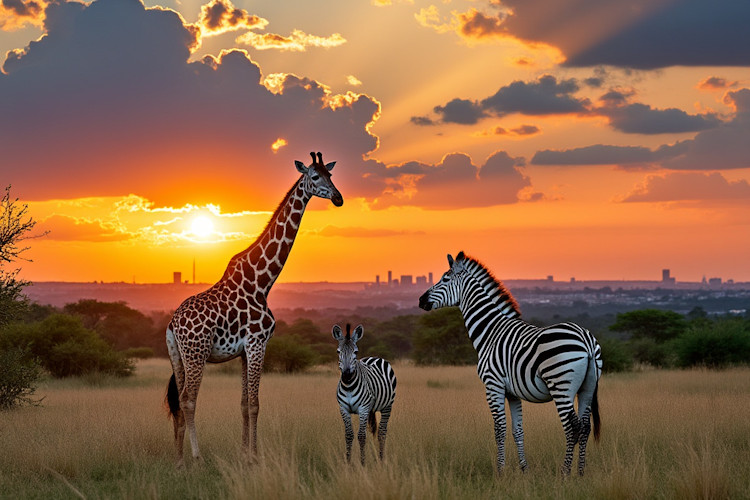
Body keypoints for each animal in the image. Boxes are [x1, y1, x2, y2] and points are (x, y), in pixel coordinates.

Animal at [165, 151, 343, 468]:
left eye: (330, 175)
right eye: (314, 176)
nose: (338, 198)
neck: (263, 281)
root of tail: (173, 323)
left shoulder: (245, 350)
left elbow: (244, 403)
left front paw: (245, 453)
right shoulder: (258, 343)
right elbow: (256, 403)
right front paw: (255, 457)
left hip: (178, 356)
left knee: (178, 402)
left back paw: (179, 459)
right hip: (197, 353)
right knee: (188, 398)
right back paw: (197, 457)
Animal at [332, 323, 397, 464]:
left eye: (355, 352)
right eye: (338, 352)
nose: (346, 375)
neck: (349, 386)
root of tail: (374, 357)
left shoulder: (363, 408)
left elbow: (361, 436)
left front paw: (362, 463)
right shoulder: (343, 409)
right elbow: (349, 435)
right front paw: (348, 462)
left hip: (387, 406)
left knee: (382, 432)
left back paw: (381, 459)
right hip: (371, 409)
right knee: (373, 430)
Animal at [418, 252, 602, 476]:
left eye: (445, 279)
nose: (420, 300)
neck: (490, 331)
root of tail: (585, 338)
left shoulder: (493, 385)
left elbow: (499, 429)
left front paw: (500, 471)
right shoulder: (513, 392)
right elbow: (517, 429)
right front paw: (524, 469)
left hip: (561, 385)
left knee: (572, 427)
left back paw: (565, 473)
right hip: (587, 388)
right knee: (585, 427)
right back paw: (580, 473)